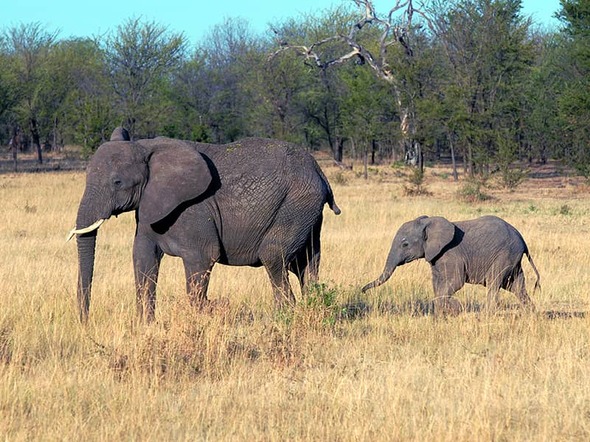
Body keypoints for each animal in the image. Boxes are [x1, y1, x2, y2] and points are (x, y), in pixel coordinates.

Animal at [68, 126, 342, 322]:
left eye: (117, 182)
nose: (85, 322)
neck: (146, 147)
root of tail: (319, 170)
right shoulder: (149, 206)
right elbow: (143, 258)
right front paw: (146, 326)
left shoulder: (192, 209)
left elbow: (202, 257)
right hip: (307, 211)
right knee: (306, 263)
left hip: (298, 202)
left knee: (273, 255)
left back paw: (284, 317)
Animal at [360, 215, 540, 314]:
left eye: (405, 245)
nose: (362, 291)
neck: (429, 222)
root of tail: (521, 238)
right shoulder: (436, 256)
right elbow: (437, 283)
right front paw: (441, 315)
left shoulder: (451, 253)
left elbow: (455, 282)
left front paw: (452, 309)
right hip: (512, 258)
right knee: (516, 286)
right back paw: (532, 314)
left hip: (504, 255)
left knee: (494, 282)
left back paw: (486, 315)